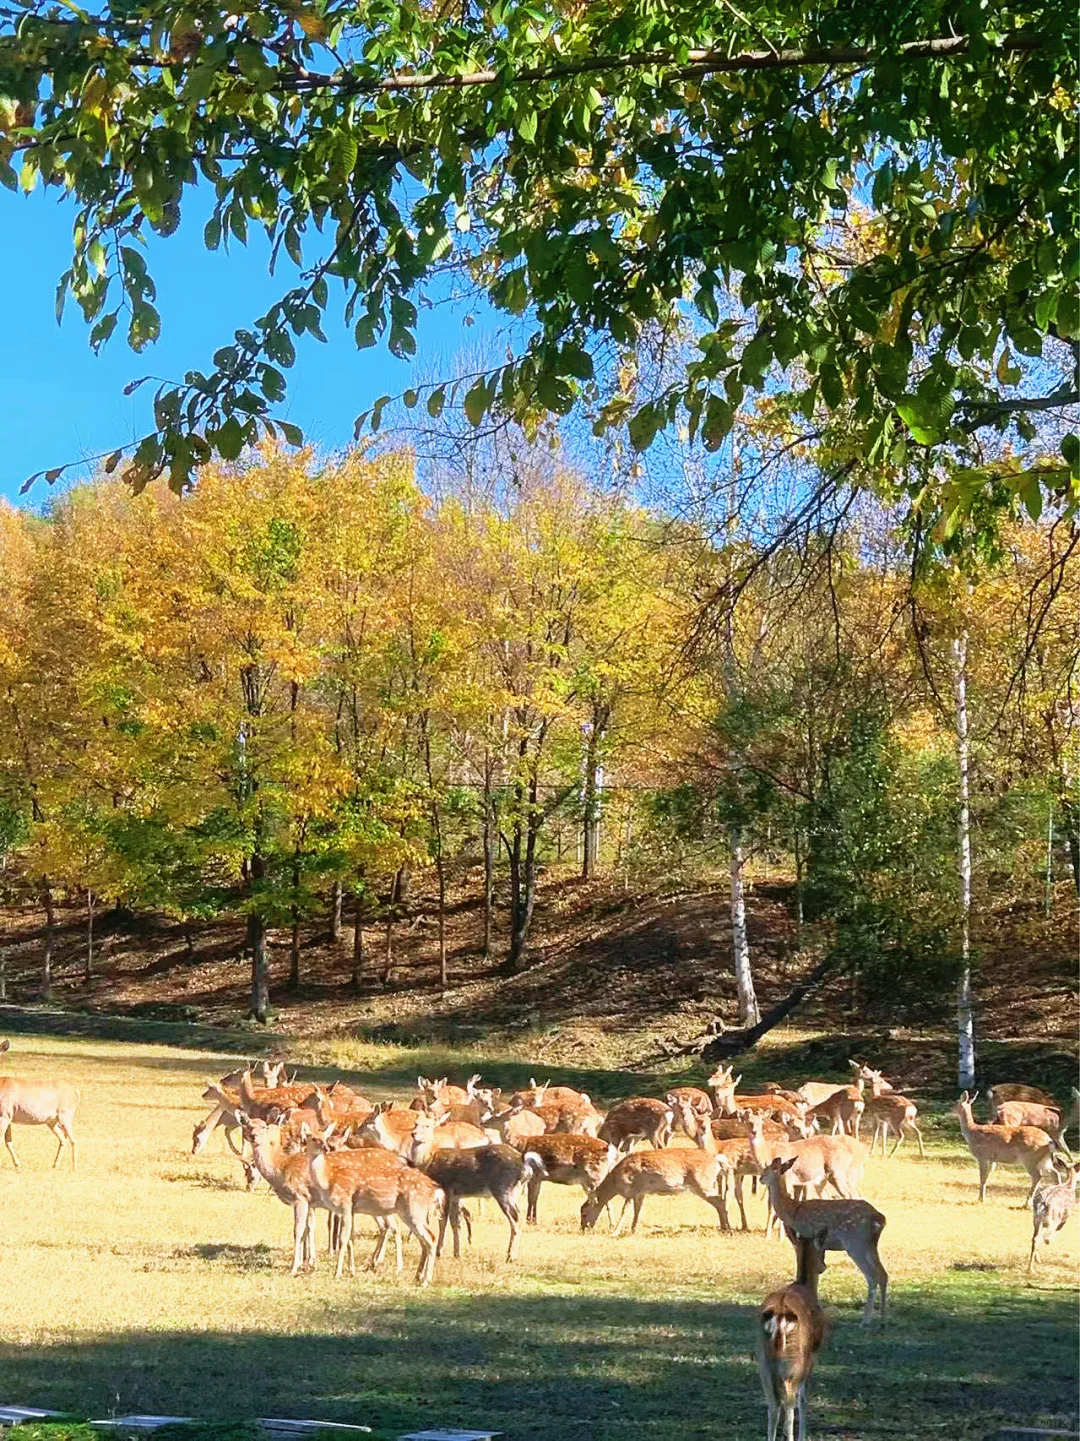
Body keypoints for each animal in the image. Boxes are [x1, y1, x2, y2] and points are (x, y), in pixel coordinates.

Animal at [580, 1129, 734, 1235]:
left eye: (584, 1213)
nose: (583, 1228)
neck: (615, 1182)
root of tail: (716, 1160)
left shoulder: (631, 1190)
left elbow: (625, 1211)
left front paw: (615, 1232)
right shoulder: (641, 1193)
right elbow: (637, 1211)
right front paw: (633, 1230)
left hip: (702, 1183)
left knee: (720, 1201)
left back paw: (727, 1229)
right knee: (720, 1201)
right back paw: (725, 1228)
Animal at [757, 1230, 829, 1441]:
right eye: (823, 1249)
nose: (824, 1265)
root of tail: (779, 1316)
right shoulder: (812, 1356)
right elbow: (803, 1399)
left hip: (764, 1363)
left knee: (773, 1405)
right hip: (793, 1363)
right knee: (789, 1406)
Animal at [759, 1156, 888, 1326]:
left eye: (769, 1169)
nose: (760, 1178)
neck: (792, 1211)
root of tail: (879, 1219)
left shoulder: (803, 1237)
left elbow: (805, 1268)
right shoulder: (819, 1245)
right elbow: (819, 1269)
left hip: (855, 1242)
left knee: (872, 1276)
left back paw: (865, 1321)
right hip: (870, 1245)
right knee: (883, 1274)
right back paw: (882, 1318)